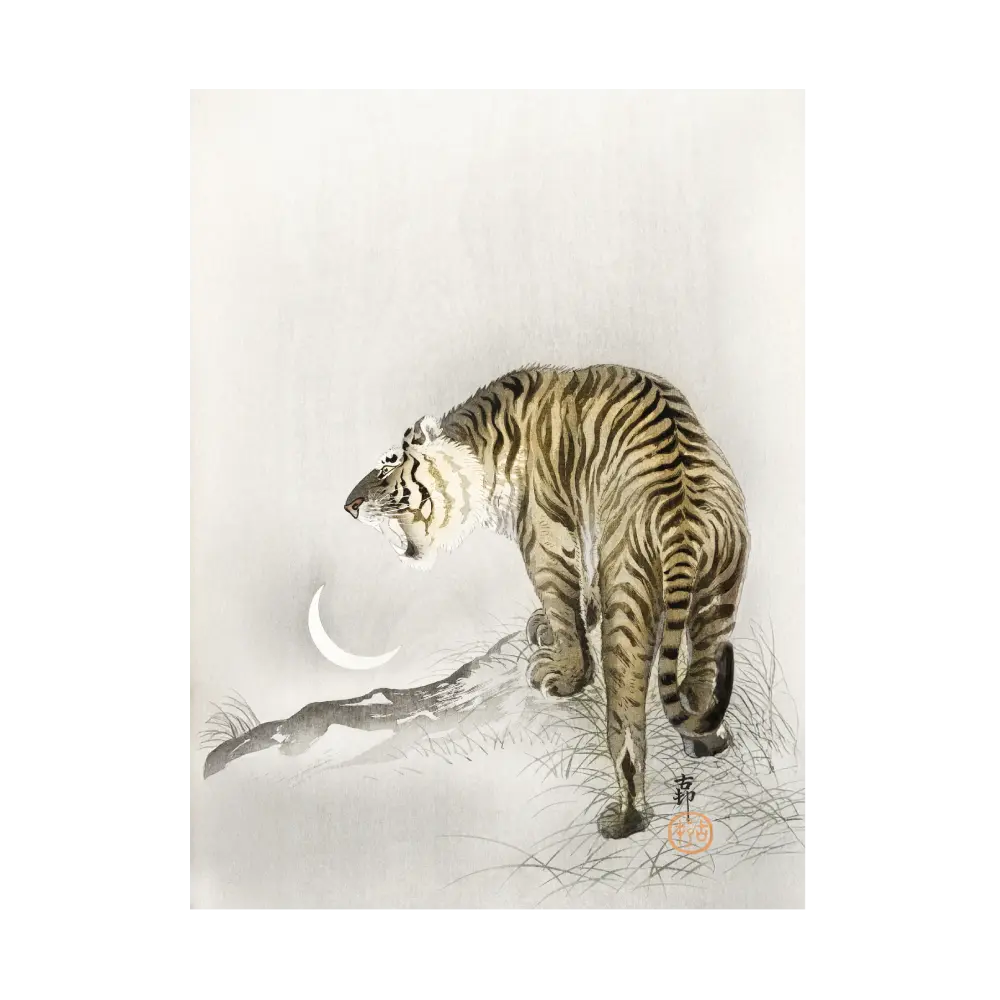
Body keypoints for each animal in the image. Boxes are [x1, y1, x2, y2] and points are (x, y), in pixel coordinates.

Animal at [344, 364, 749, 840]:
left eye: (387, 466)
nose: (349, 505)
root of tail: (681, 517)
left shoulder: (544, 538)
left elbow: (561, 603)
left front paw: (564, 673)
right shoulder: (585, 523)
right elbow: (582, 586)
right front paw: (559, 623)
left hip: (630, 603)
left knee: (627, 726)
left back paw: (625, 818)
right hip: (719, 593)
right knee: (703, 673)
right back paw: (706, 741)